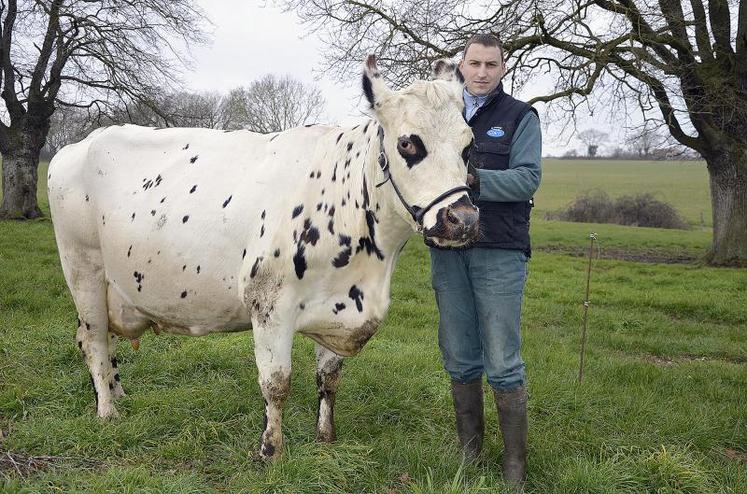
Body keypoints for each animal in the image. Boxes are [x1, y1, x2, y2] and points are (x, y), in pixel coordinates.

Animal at [48, 56, 480, 458]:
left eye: (468, 145)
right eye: (408, 143)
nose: (462, 220)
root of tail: (78, 145)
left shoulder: (337, 307)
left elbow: (328, 379)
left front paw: (325, 438)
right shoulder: (270, 303)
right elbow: (276, 383)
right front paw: (271, 450)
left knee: (99, 340)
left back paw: (117, 393)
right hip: (83, 270)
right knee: (94, 341)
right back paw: (107, 411)